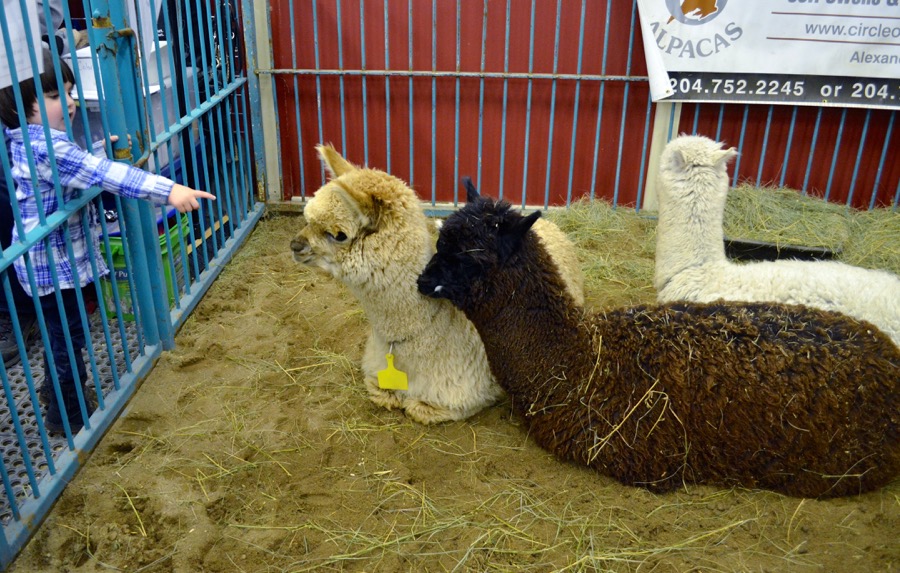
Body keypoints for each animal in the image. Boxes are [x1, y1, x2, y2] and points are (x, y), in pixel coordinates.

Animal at [289, 145, 585, 424]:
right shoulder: (376, 378)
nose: (295, 245)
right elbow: (382, 392)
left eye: (339, 234)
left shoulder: (462, 396)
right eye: (307, 219)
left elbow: (419, 408)